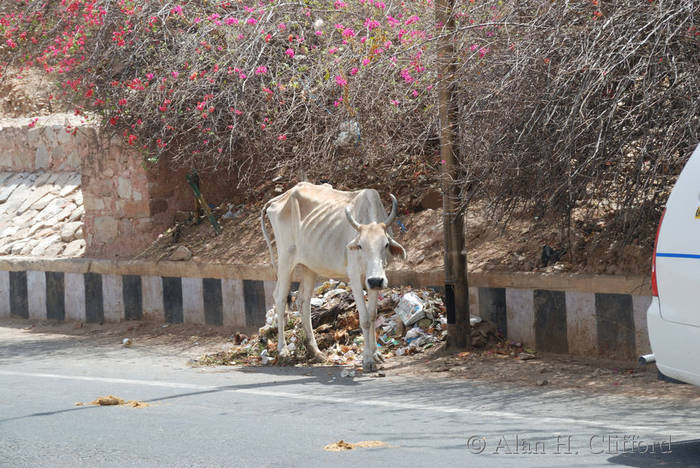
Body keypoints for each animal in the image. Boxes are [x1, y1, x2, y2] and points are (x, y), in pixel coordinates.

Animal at [262, 181, 404, 372]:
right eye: (360, 246)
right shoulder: (355, 277)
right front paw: (367, 360)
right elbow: (365, 319)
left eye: (386, 244)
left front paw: (376, 354)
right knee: (280, 297)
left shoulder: (375, 280)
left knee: (303, 302)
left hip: (309, 267)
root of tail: (279, 199)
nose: (376, 280)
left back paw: (315, 351)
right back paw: (283, 351)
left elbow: (373, 315)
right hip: (285, 260)